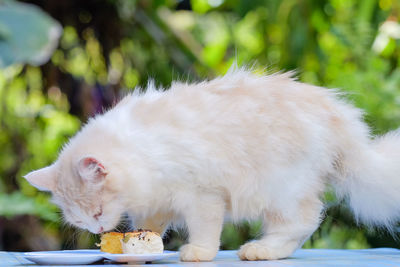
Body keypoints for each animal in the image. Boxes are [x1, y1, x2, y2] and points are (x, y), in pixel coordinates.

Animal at [24, 67, 400, 262]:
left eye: (98, 213)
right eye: (81, 221)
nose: (98, 229)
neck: (142, 150)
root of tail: (341, 118)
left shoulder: (201, 194)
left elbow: (205, 230)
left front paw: (198, 253)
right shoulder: (157, 202)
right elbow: (148, 229)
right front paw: (137, 249)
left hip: (283, 191)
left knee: (304, 221)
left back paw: (259, 250)